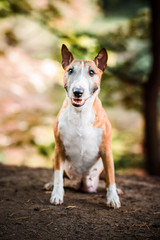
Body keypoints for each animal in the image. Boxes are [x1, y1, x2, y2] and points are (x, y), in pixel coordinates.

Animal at [46, 44, 121, 208]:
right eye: (70, 70)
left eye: (91, 72)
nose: (77, 92)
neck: (80, 113)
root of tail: (81, 185)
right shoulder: (59, 148)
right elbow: (58, 177)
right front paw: (56, 194)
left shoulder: (106, 150)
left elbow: (111, 179)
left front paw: (113, 198)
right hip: (55, 159)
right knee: (60, 176)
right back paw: (50, 184)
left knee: (107, 178)